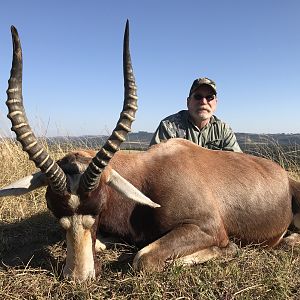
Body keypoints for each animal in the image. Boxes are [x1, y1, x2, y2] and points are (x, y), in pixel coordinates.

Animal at [0, 22, 300, 282]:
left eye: (98, 208)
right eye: (54, 210)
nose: (78, 277)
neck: (145, 177)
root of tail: (283, 176)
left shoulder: (206, 227)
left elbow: (143, 258)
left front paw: (229, 249)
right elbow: (102, 245)